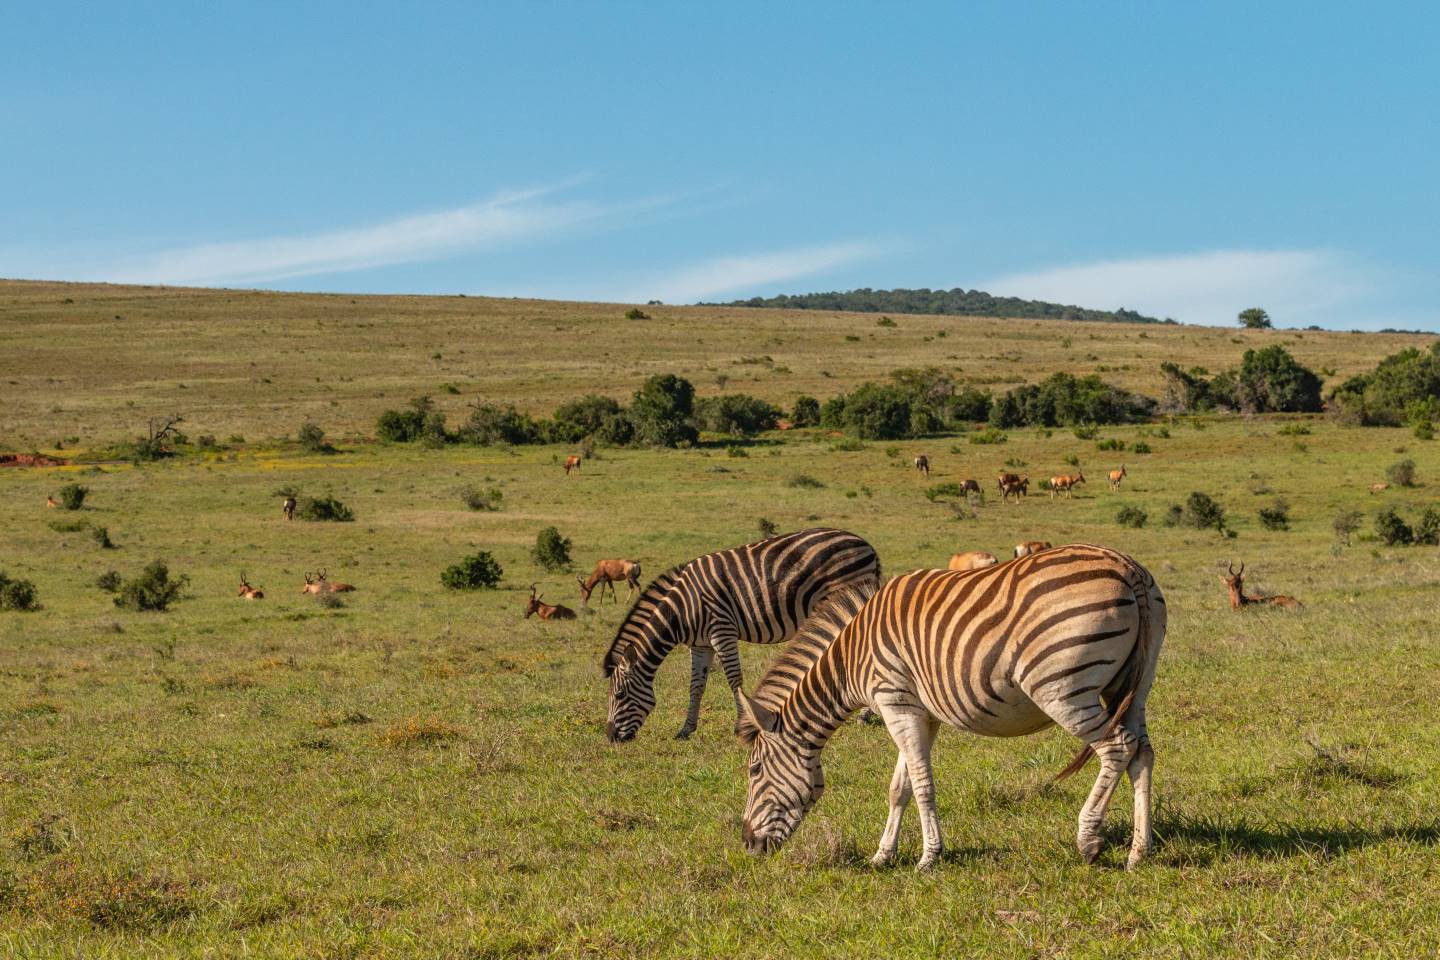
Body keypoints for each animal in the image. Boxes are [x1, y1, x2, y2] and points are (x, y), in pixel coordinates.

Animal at [601, 526, 881, 742]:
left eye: (620, 695)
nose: (611, 737)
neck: (681, 609)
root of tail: (866, 545)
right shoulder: (700, 644)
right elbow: (696, 685)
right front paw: (686, 729)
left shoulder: (722, 630)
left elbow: (734, 679)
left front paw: (739, 726)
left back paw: (864, 716)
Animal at [737, 546, 1163, 869]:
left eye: (754, 770)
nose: (747, 844)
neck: (851, 657)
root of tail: (1126, 567)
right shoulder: (918, 711)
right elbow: (900, 787)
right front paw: (882, 856)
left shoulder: (894, 701)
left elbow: (923, 784)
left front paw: (929, 857)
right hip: (1132, 687)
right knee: (1141, 752)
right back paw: (1138, 852)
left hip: (1063, 690)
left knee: (1117, 747)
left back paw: (1088, 839)